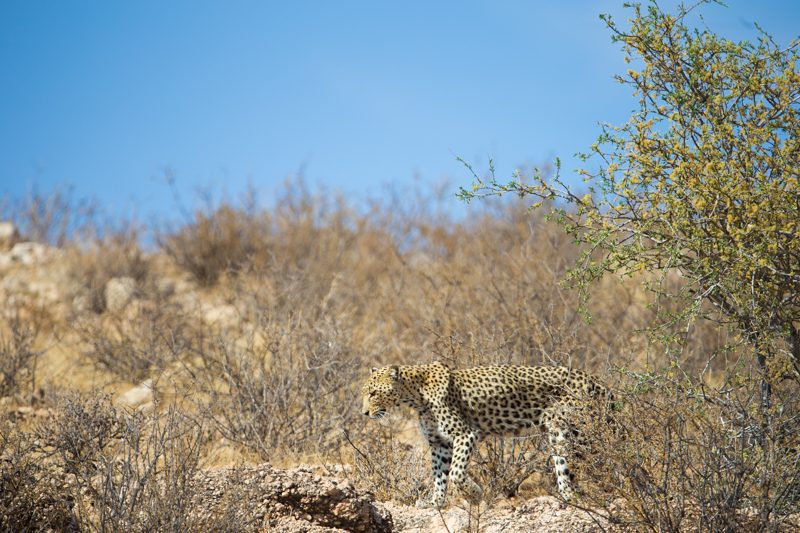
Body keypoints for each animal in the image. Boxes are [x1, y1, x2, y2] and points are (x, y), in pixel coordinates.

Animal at [360, 360, 612, 504]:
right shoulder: (439, 443)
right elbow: (439, 475)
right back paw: (569, 498)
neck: (415, 396)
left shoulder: (464, 435)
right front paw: (436, 502)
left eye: (373, 393)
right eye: (366, 392)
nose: (364, 413)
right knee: (565, 469)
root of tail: (596, 380)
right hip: (559, 435)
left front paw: (475, 493)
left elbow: (456, 473)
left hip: (576, 432)